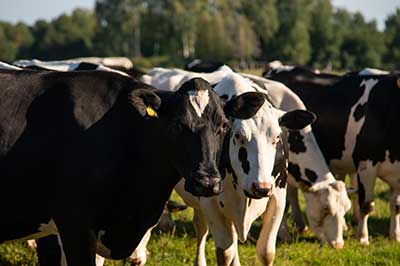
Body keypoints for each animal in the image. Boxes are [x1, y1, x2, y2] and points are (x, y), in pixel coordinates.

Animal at [266, 67, 400, 244]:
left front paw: (395, 236)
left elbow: (396, 205)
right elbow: (367, 204)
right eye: (325, 209)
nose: (337, 245)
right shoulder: (366, 164)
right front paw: (363, 238)